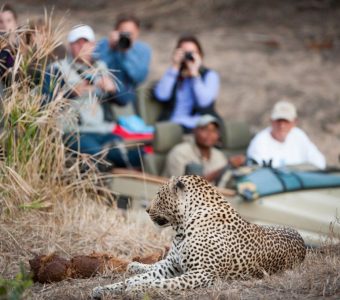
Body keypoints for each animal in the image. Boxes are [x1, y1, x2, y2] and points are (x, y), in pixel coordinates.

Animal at [91, 175, 306, 298]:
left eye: (159, 195)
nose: (146, 209)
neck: (181, 228)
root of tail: (302, 239)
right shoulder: (172, 266)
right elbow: (138, 278)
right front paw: (102, 290)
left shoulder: (202, 273)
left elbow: (161, 282)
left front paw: (138, 289)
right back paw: (135, 265)